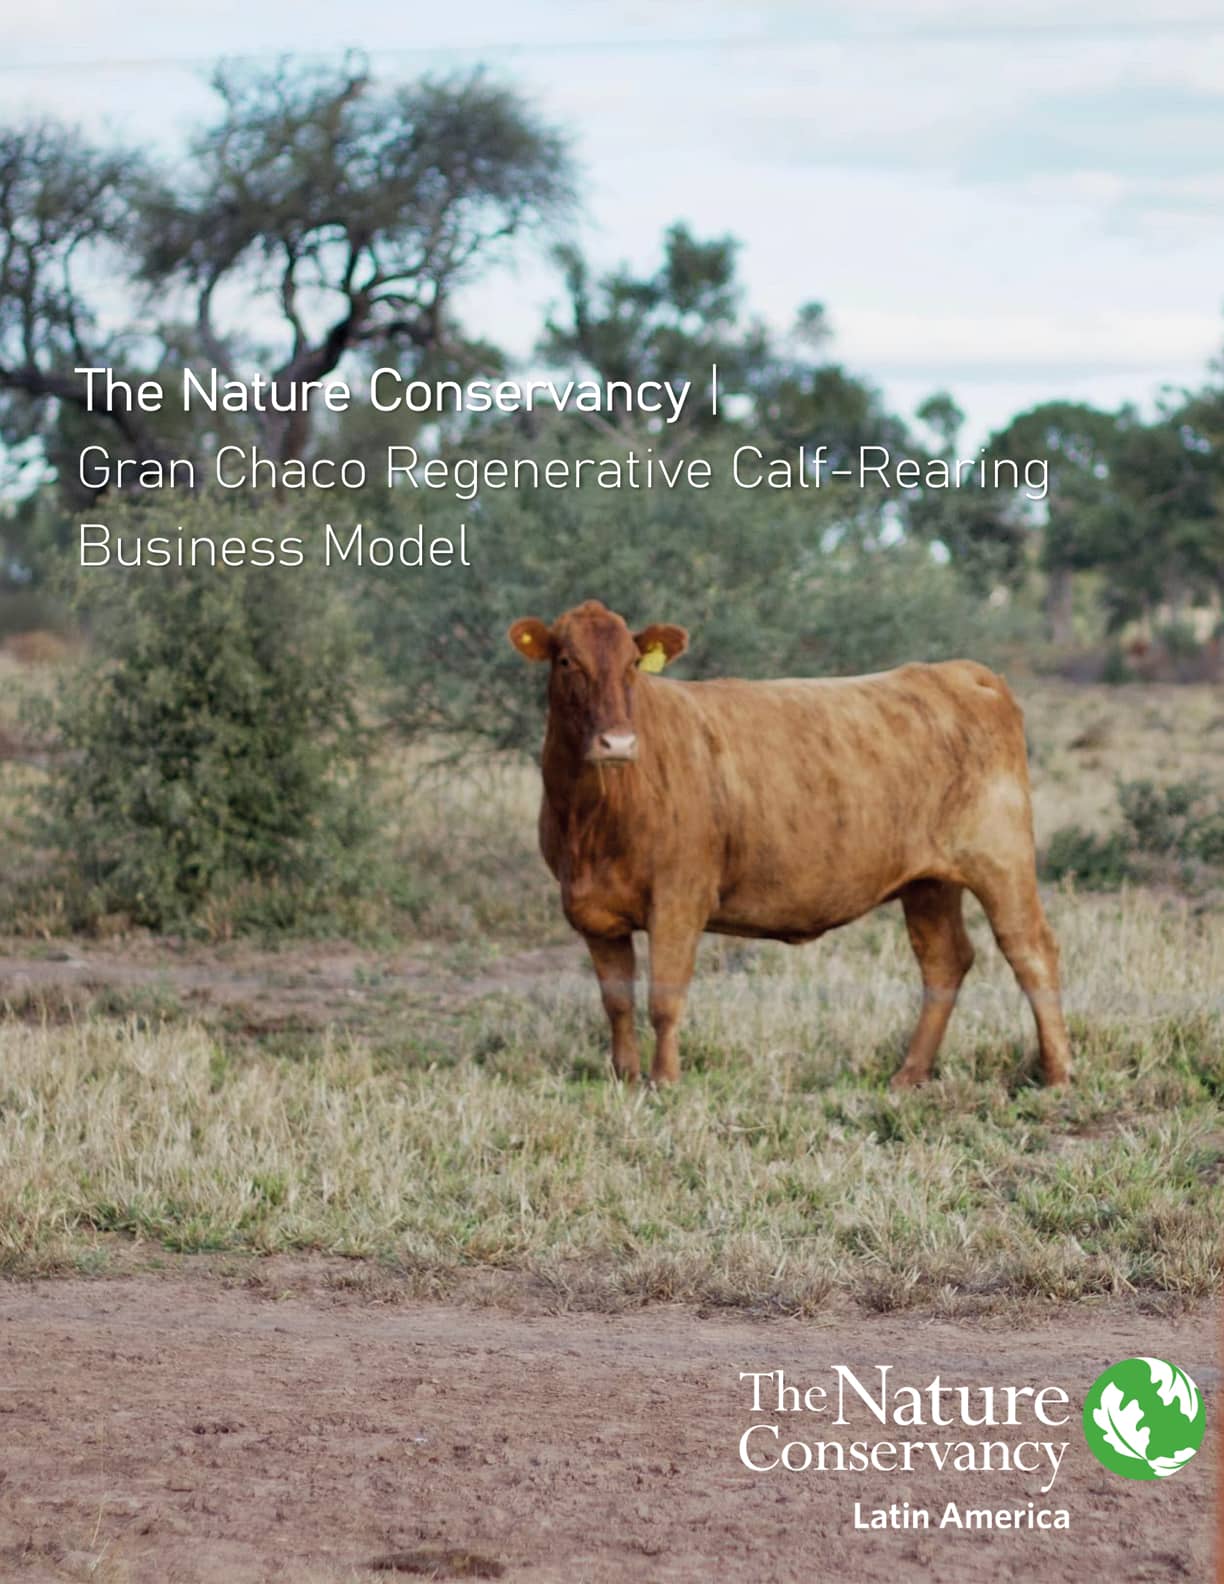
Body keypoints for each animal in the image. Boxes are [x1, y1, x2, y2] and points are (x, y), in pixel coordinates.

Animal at [509, 599, 1072, 1090]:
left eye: (632, 663)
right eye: (566, 660)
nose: (618, 743)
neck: (592, 821)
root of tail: (959, 672)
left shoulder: (678, 898)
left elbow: (663, 1000)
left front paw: (664, 1081)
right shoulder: (593, 913)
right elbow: (617, 1001)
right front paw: (624, 1076)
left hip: (1001, 859)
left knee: (1031, 951)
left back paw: (1058, 1075)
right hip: (929, 882)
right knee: (944, 960)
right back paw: (909, 1075)